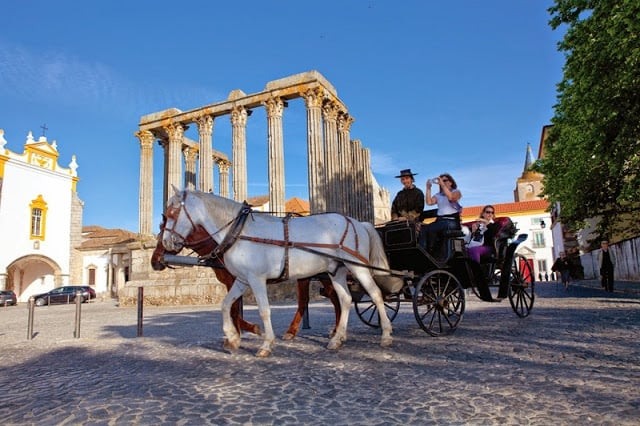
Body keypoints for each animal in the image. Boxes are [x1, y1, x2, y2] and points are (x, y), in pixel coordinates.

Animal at [151, 216, 342, 340]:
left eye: (162, 232)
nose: (154, 261)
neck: (223, 244)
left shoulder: (234, 280)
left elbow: (234, 310)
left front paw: (247, 330)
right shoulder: (235, 282)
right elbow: (232, 308)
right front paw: (237, 333)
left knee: (332, 298)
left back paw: (335, 330)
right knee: (314, 300)